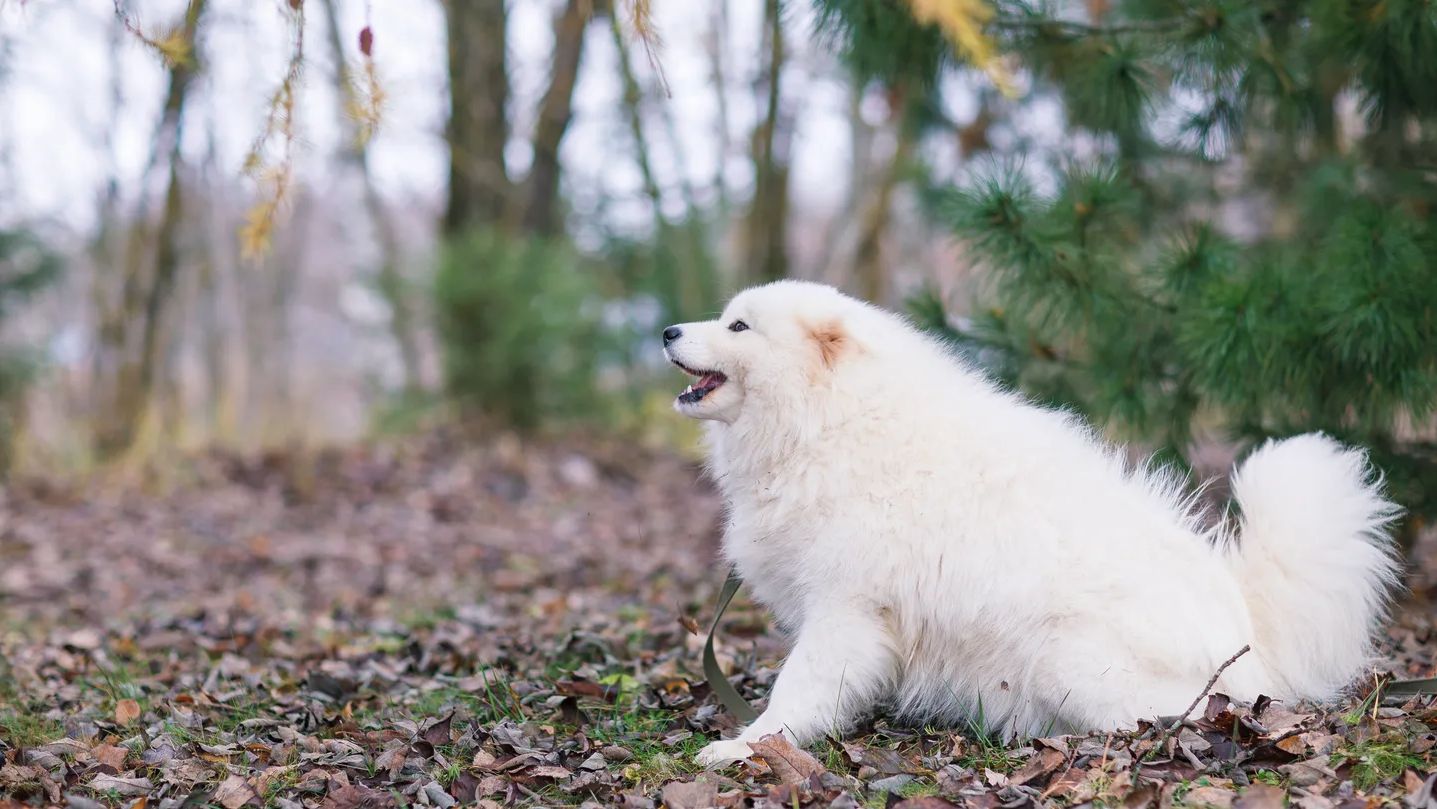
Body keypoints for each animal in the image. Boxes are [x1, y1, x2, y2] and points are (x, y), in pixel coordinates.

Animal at [666, 281, 1408, 770]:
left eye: (739, 327)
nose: (668, 331)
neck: (830, 423)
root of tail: (1253, 639)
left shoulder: (846, 607)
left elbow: (799, 688)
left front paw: (747, 745)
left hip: (1068, 657)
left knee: (1179, 713)